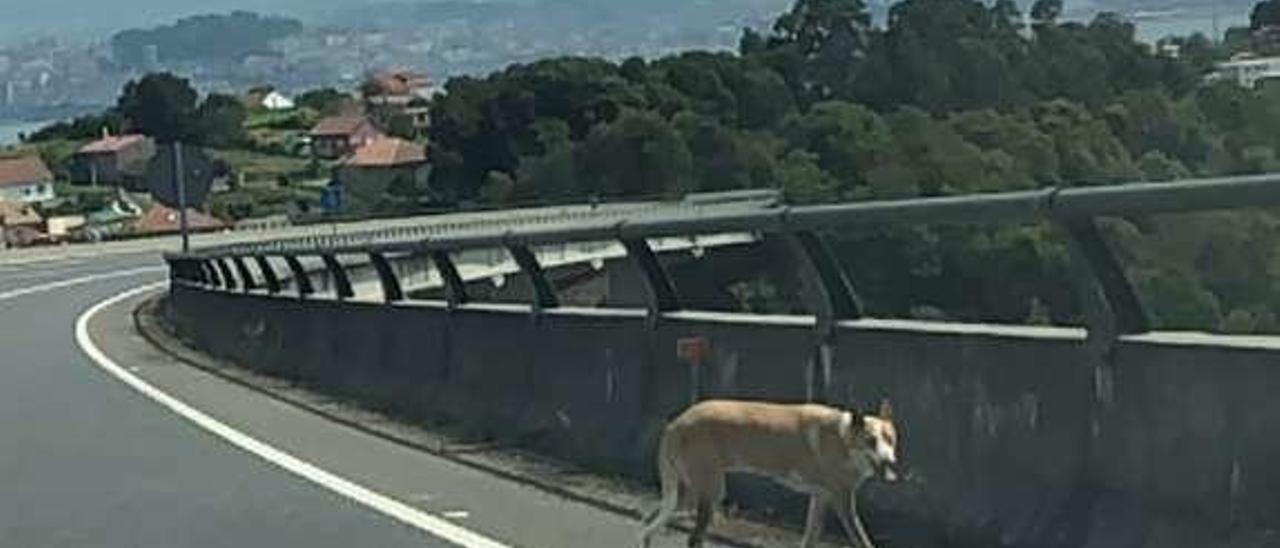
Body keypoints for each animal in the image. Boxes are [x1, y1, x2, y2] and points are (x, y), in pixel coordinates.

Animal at [632, 396, 896, 548]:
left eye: (890, 439)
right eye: (871, 441)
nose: (890, 463)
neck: (843, 438)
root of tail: (675, 423)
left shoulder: (820, 499)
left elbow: (810, 538)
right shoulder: (843, 502)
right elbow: (862, 540)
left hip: (686, 493)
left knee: (650, 520)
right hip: (709, 491)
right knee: (691, 537)